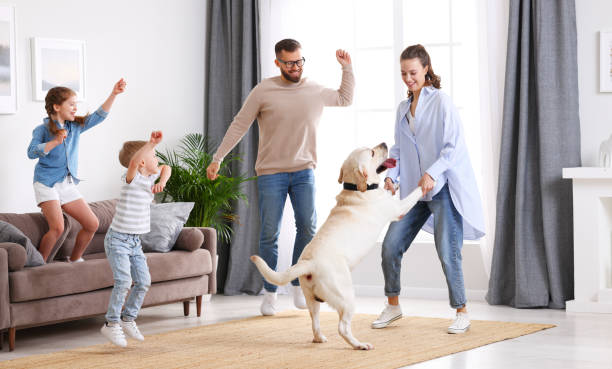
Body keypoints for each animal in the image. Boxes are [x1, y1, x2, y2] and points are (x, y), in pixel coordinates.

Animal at [251, 142, 424, 350]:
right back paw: (359, 345)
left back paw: (320, 338)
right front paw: (425, 183)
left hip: (311, 300)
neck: (357, 189)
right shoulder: (398, 209)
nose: (383, 143)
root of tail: (309, 263)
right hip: (346, 297)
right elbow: (414, 194)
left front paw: (394, 185)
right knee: (342, 327)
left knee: (315, 322)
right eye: (372, 152)